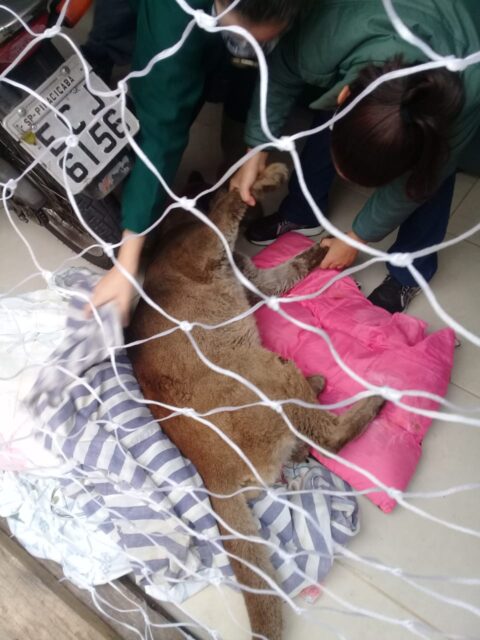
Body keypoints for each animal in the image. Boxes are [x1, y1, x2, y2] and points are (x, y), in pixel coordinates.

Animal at [130, 164, 383, 640]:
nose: (197, 174)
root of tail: (210, 474)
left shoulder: (255, 280)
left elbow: (286, 268)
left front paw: (323, 250)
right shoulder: (214, 243)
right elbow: (228, 203)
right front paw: (266, 176)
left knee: (308, 436)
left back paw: (317, 388)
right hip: (268, 373)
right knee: (329, 436)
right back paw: (372, 399)